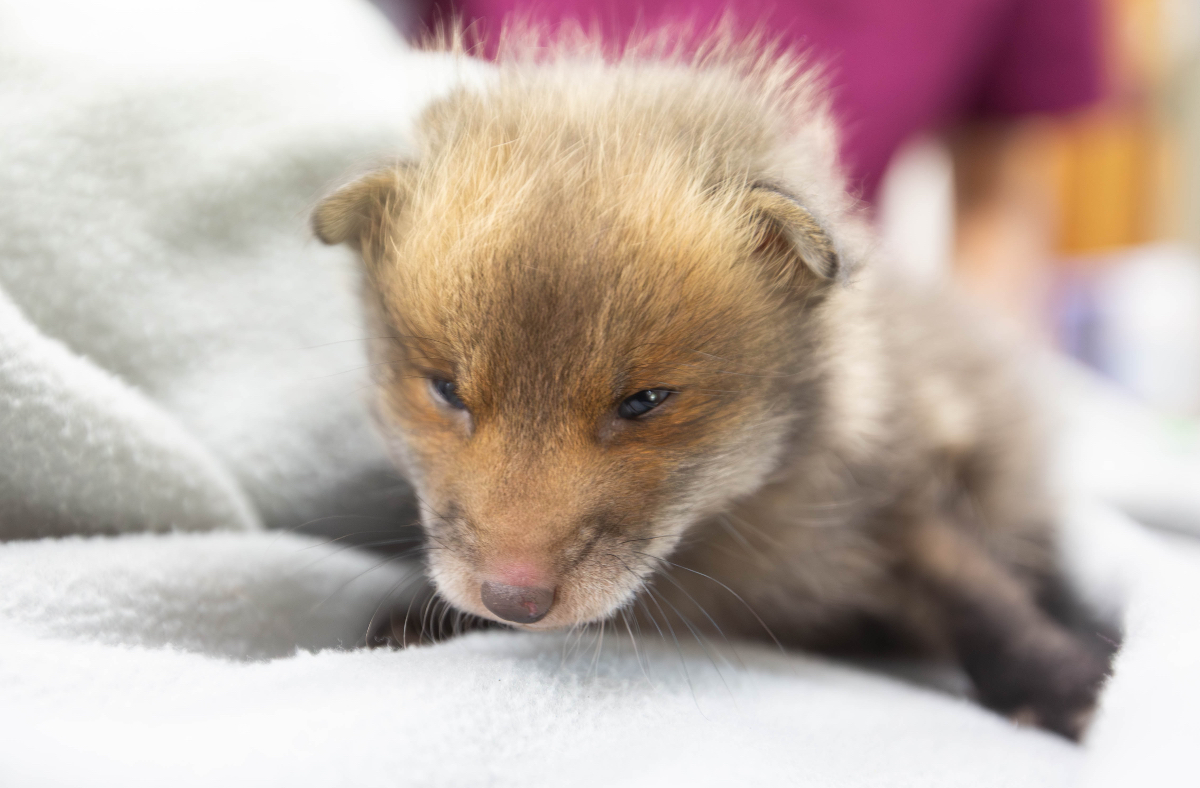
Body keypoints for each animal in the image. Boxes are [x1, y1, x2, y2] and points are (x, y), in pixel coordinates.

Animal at [312, 29, 1110, 739]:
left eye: (644, 401)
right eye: (447, 390)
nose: (513, 599)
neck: (727, 536)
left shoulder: (905, 475)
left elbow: (975, 589)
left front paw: (1063, 686)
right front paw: (418, 623)